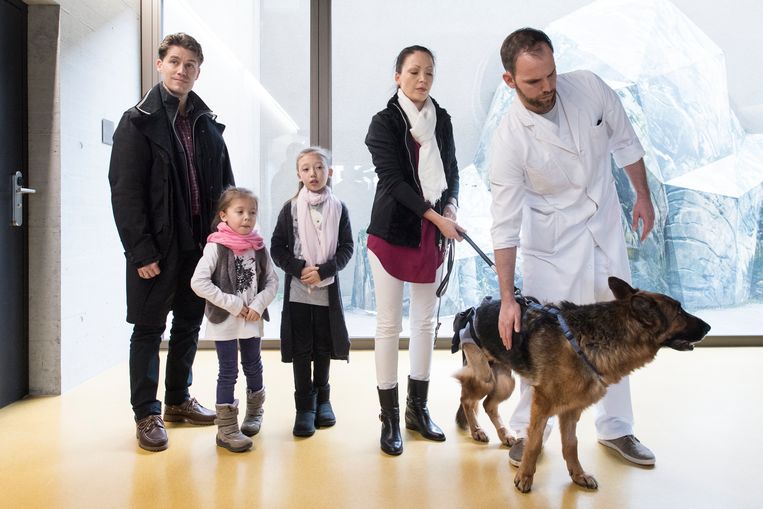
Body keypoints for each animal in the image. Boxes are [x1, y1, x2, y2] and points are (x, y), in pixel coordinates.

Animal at [454, 278, 712, 492]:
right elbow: (535, 443)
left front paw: (578, 475)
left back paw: (504, 434)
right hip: (485, 378)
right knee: (466, 398)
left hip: (504, 383)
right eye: (679, 310)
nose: (708, 327)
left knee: (488, 404)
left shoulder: (571, 409)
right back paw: (476, 430)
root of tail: (474, 310)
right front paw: (525, 477)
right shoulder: (542, 404)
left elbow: (571, 445)